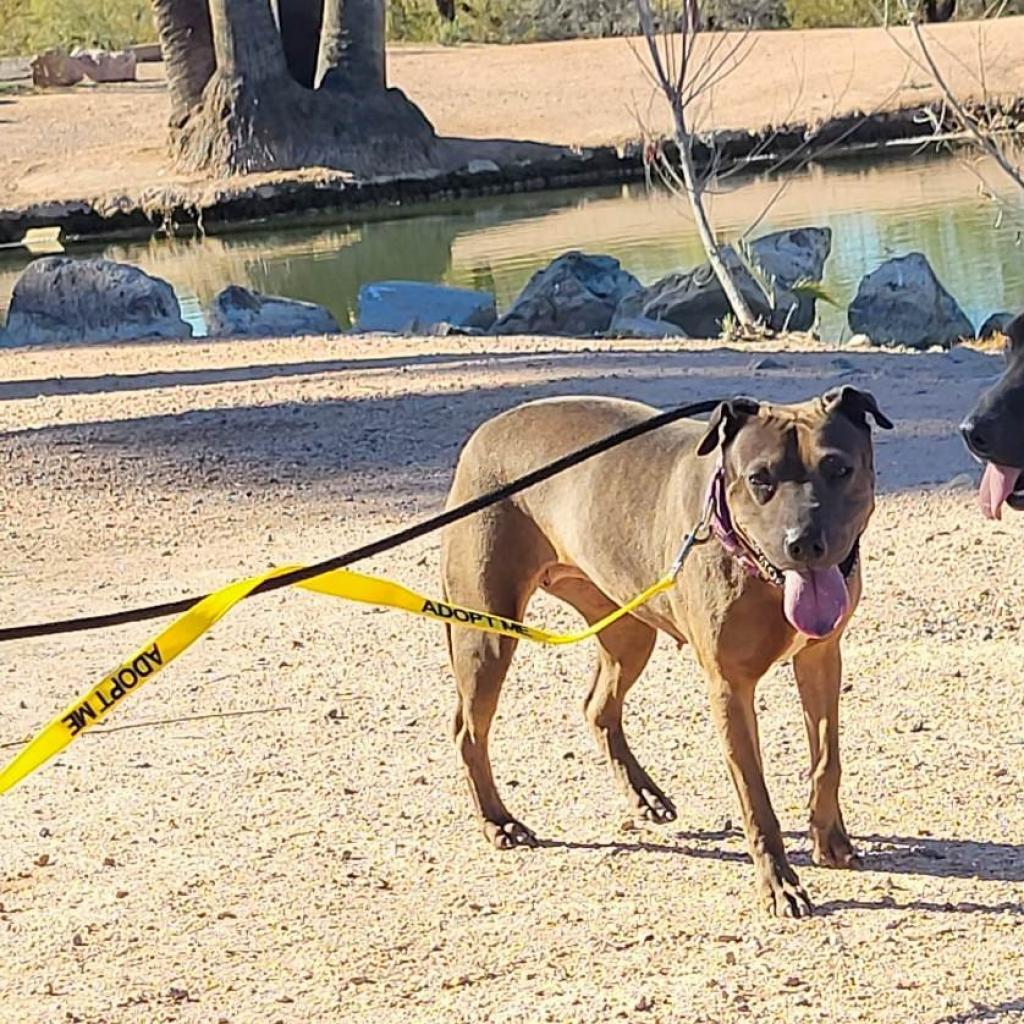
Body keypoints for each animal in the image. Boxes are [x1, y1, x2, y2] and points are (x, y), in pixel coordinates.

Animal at [444, 387, 892, 917]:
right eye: (759, 479)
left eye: (838, 467)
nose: (803, 543)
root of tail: (486, 429)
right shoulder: (730, 688)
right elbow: (756, 798)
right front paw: (780, 884)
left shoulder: (821, 657)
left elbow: (827, 760)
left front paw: (830, 840)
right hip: (488, 635)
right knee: (470, 732)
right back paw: (500, 821)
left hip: (628, 629)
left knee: (597, 707)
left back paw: (644, 794)